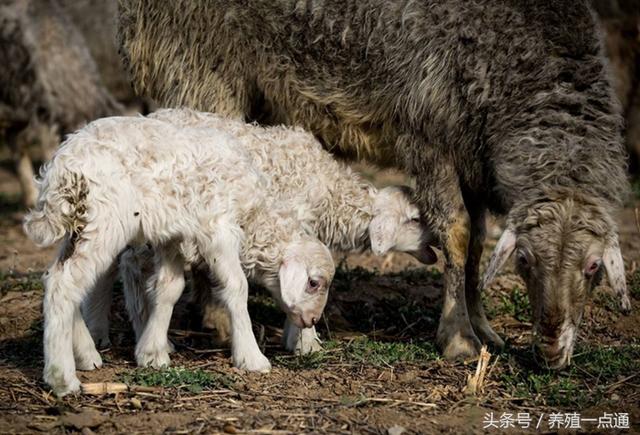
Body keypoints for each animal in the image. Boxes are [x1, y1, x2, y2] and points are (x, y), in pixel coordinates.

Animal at [23, 116, 336, 398]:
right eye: (314, 283)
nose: (312, 319)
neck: (254, 218)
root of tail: (61, 168)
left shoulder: (173, 237)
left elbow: (169, 289)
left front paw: (152, 353)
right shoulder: (218, 229)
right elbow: (237, 287)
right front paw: (251, 357)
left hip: (78, 226)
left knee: (56, 277)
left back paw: (86, 355)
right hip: (103, 221)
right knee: (66, 285)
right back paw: (62, 378)